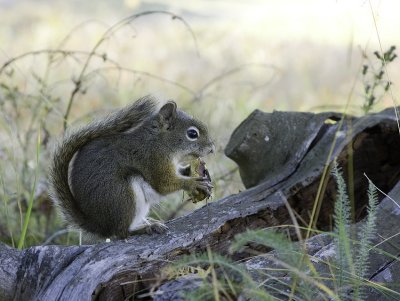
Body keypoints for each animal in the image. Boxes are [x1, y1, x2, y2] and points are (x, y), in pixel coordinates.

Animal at [50, 96, 216, 239]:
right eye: (192, 133)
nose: (212, 149)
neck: (159, 141)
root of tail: (100, 225)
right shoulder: (153, 160)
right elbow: (163, 184)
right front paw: (193, 183)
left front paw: (192, 171)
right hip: (123, 196)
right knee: (122, 232)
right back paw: (146, 228)